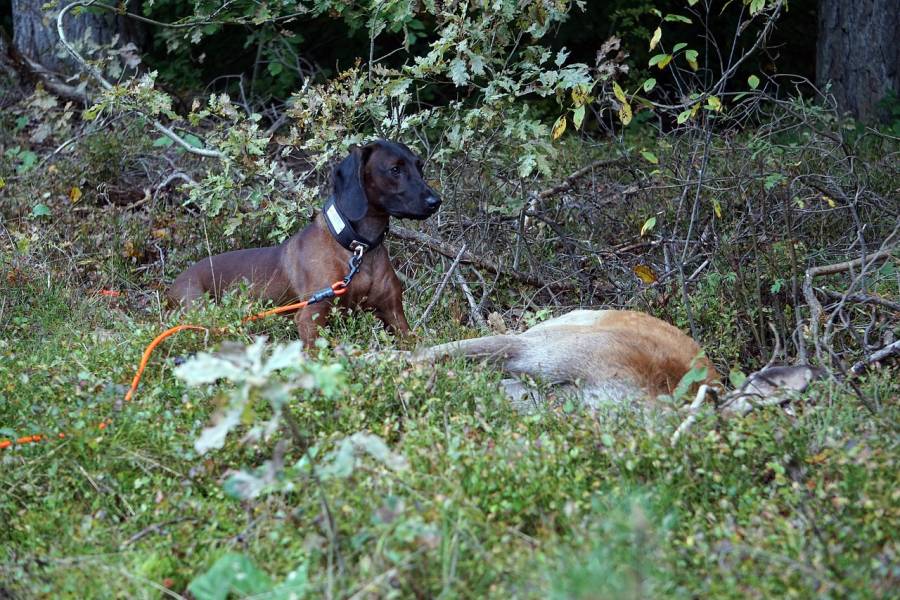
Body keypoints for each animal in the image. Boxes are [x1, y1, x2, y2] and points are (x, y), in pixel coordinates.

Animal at [170, 141, 442, 344]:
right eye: (395, 169)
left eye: (419, 166)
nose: (435, 201)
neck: (357, 248)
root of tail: (171, 285)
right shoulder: (311, 316)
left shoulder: (395, 315)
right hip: (199, 310)